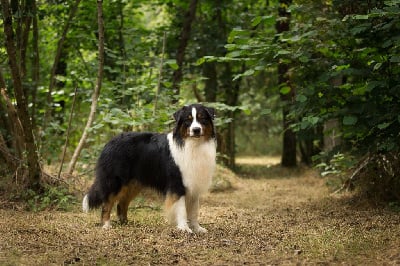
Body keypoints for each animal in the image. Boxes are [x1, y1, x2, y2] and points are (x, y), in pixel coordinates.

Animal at [82, 103, 217, 232]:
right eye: (188, 120)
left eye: (202, 118)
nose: (196, 130)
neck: (192, 144)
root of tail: (109, 142)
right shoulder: (177, 184)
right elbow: (181, 208)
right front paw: (184, 228)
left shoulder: (194, 184)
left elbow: (194, 211)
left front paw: (197, 228)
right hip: (115, 181)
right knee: (107, 202)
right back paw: (106, 224)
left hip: (133, 184)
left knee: (122, 203)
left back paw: (125, 223)